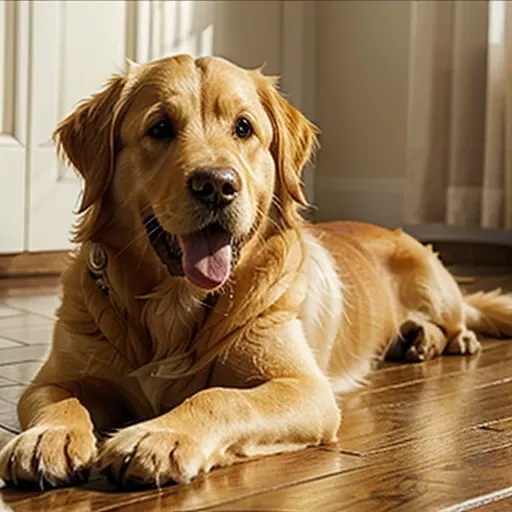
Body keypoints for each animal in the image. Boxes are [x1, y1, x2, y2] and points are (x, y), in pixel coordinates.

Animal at [1, 54, 512, 490]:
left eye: (244, 128)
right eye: (160, 127)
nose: (216, 185)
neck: (174, 305)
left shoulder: (305, 388)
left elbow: (220, 396)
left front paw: (156, 437)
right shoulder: (51, 377)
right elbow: (59, 397)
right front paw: (47, 437)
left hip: (431, 280)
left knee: (459, 318)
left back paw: (449, 339)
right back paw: (414, 339)